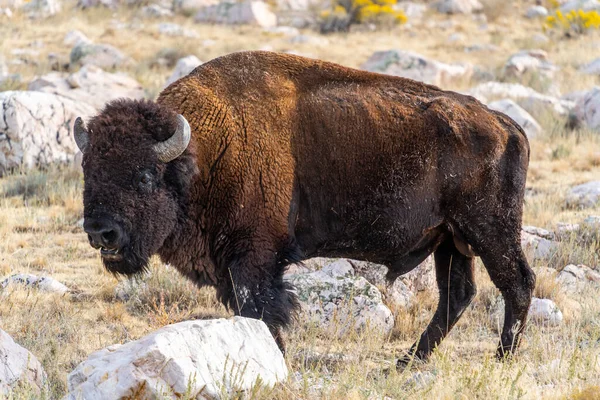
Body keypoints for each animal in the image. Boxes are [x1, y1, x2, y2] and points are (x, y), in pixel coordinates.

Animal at [74, 49, 536, 362]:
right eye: (88, 170)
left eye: (145, 176)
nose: (101, 232)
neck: (205, 152)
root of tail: (505, 124)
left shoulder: (254, 256)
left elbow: (260, 308)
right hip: (451, 240)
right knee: (457, 294)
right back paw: (407, 362)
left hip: (489, 231)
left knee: (517, 283)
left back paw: (501, 358)